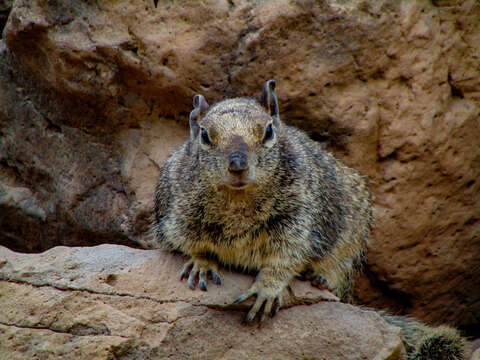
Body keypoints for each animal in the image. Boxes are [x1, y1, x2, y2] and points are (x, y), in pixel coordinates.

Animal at [154, 80, 464, 358]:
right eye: (205, 136)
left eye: (268, 131)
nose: (238, 165)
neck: (239, 200)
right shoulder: (175, 214)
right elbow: (186, 244)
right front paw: (202, 264)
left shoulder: (299, 218)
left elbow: (286, 256)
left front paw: (267, 289)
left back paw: (321, 278)